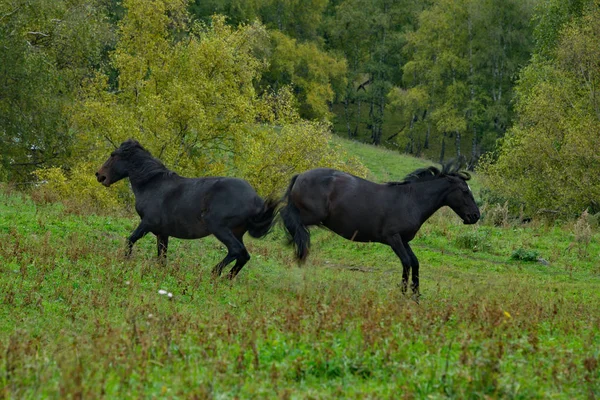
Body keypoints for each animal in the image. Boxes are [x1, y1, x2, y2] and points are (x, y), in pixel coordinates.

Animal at [96, 138, 278, 278]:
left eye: (113, 155)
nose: (99, 175)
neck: (152, 184)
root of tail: (255, 199)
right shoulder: (162, 233)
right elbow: (162, 256)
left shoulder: (147, 223)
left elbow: (130, 240)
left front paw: (124, 260)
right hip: (237, 232)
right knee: (244, 256)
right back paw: (227, 278)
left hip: (219, 228)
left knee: (236, 250)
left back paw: (214, 273)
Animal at [278, 161, 480, 296]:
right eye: (464, 191)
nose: (476, 216)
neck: (411, 201)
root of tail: (300, 175)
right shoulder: (393, 238)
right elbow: (406, 263)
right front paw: (403, 294)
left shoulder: (404, 240)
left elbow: (415, 263)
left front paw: (415, 296)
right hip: (311, 216)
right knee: (285, 215)